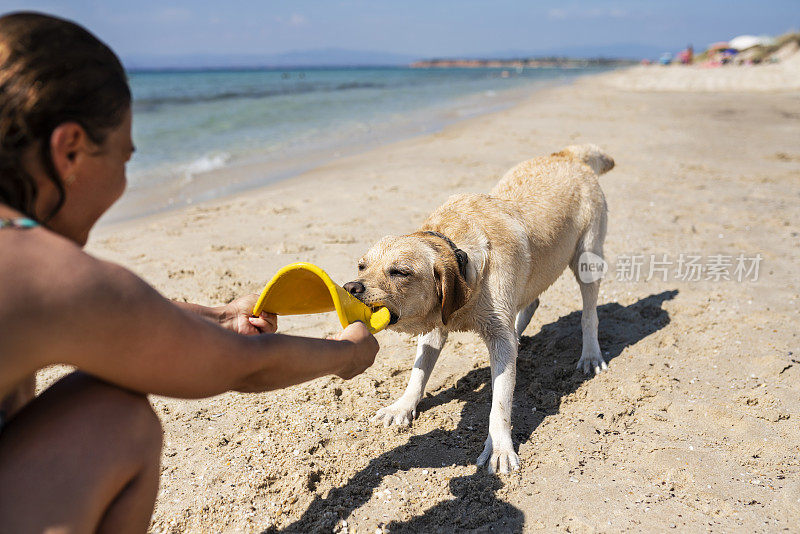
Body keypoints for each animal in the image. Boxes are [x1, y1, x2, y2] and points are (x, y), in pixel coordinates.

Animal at [344, 144, 612, 476]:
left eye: (400, 272)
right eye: (362, 266)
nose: (351, 287)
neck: (464, 263)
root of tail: (568, 154)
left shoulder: (497, 338)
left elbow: (500, 404)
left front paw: (499, 447)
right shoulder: (435, 327)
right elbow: (418, 373)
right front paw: (403, 406)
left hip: (587, 259)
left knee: (589, 314)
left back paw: (590, 354)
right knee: (530, 303)